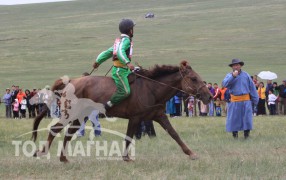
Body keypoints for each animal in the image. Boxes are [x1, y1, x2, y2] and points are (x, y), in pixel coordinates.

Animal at [31, 61, 212, 162]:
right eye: (194, 79)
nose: (209, 96)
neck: (151, 88)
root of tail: (72, 82)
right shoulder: (136, 117)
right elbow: (129, 137)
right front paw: (126, 157)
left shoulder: (158, 116)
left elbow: (174, 134)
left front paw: (191, 153)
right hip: (70, 114)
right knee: (55, 129)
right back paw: (42, 152)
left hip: (80, 117)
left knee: (68, 133)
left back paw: (63, 158)